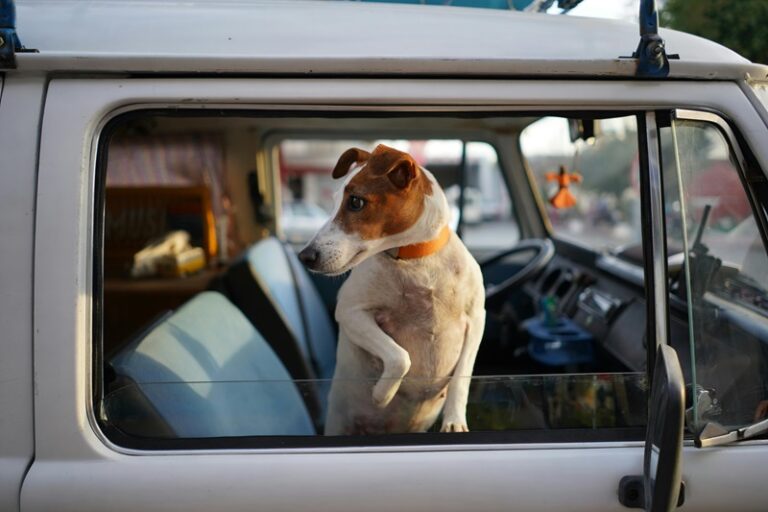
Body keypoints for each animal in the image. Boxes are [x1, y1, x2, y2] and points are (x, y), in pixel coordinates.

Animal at [296, 144, 484, 436]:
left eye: (356, 202)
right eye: (335, 199)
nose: (305, 256)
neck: (415, 261)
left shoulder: (476, 319)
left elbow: (462, 377)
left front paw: (454, 421)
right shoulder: (350, 313)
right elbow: (400, 357)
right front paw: (381, 394)